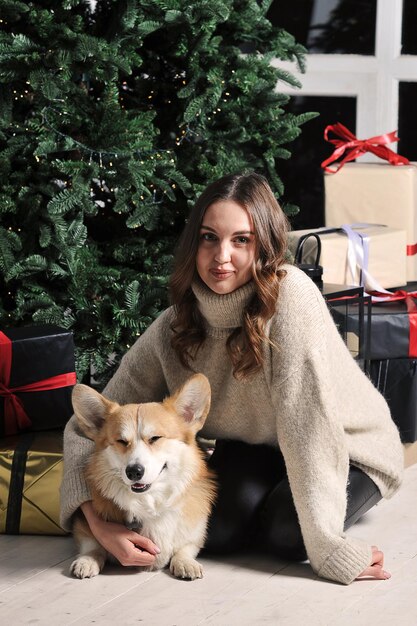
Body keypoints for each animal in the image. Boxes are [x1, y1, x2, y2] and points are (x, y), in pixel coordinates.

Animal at [68, 370, 216, 580]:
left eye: (155, 438)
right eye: (121, 441)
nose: (134, 471)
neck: (149, 501)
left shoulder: (194, 533)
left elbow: (186, 547)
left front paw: (185, 563)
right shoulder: (84, 527)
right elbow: (93, 544)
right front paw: (87, 560)